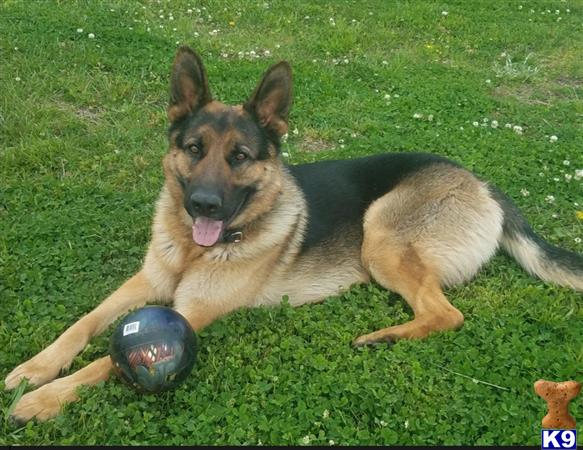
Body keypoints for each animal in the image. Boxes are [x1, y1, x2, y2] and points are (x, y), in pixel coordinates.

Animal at [5, 47, 583, 424]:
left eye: (239, 157)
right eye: (194, 149)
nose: (203, 205)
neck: (194, 250)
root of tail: (481, 183)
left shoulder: (191, 314)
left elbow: (108, 360)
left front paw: (44, 399)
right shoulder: (145, 283)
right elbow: (83, 325)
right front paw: (34, 370)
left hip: (380, 236)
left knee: (447, 314)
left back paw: (381, 337)